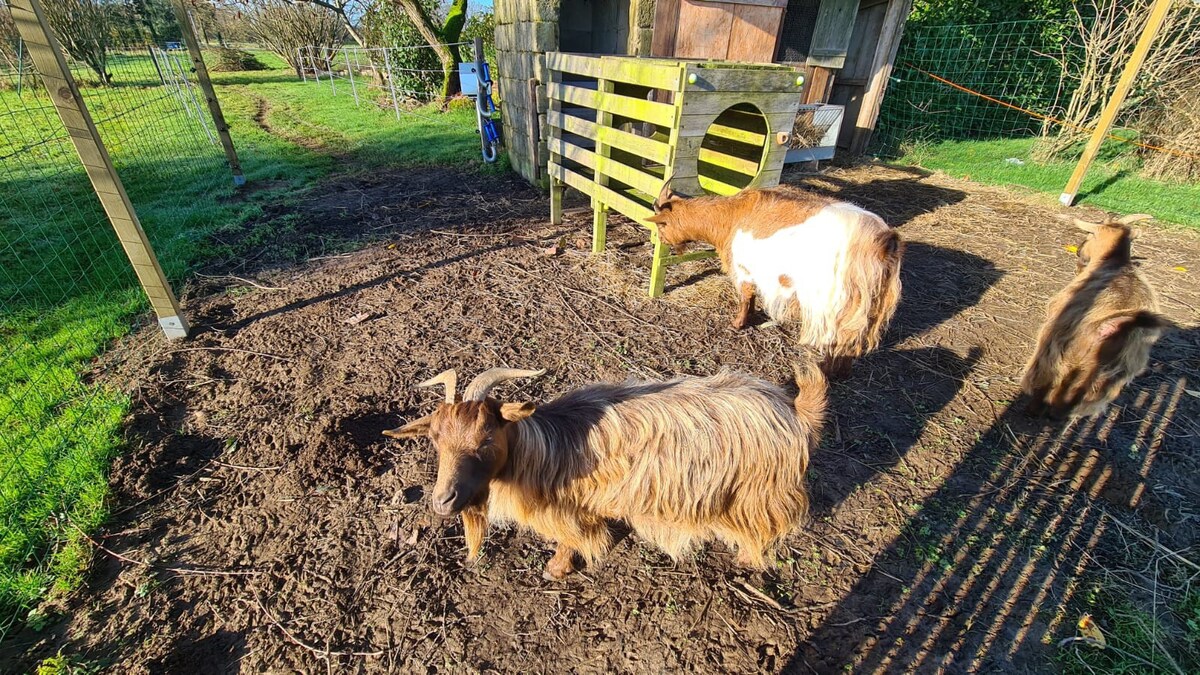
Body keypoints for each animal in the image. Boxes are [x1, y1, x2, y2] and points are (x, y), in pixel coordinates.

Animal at [384, 365, 825, 576]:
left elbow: (572, 538)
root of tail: (794, 411)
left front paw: (556, 570)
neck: (546, 447)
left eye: (486, 438)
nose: (443, 502)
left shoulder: (570, 508)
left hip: (755, 493)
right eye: (435, 439)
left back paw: (746, 560)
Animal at [648, 181, 902, 374]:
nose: (661, 240)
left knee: (838, 337)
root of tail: (883, 241)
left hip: (837, 301)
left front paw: (738, 324)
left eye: (662, 226)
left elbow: (745, 296)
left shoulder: (743, 269)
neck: (732, 216)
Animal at [1022, 212, 1171, 417]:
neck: (1114, 262)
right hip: (1108, 377)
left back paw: (1033, 407)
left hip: (1063, 352)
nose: (1079, 251)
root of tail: (1117, 325)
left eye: (1090, 235)